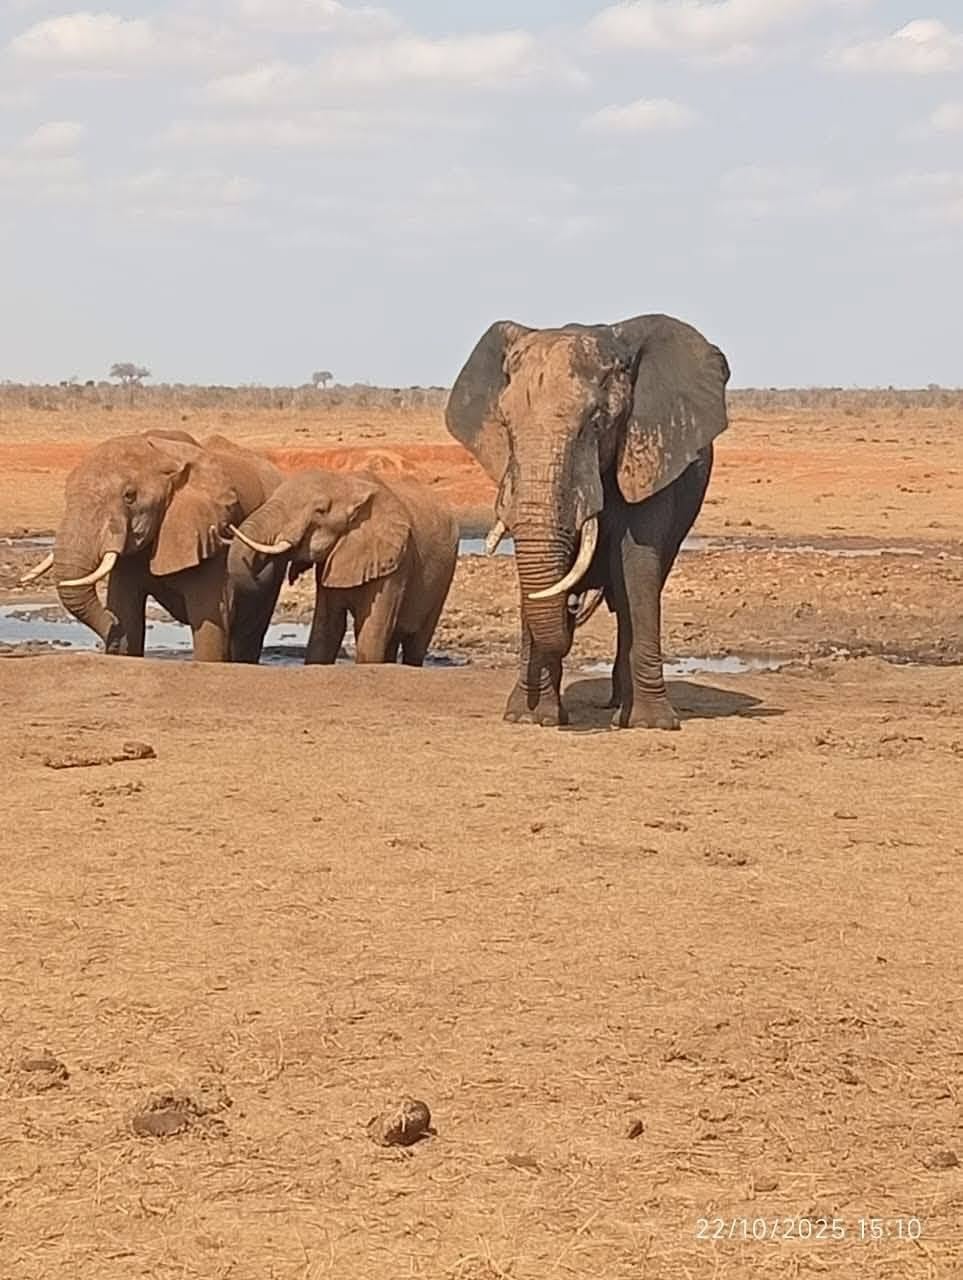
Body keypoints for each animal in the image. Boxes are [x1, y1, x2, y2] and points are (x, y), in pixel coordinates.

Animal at [21, 430, 284, 661]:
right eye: (67, 494)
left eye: (129, 496)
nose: (111, 629)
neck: (163, 454)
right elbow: (127, 614)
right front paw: (121, 635)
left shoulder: (214, 533)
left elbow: (210, 623)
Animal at [227, 468, 459, 665]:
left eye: (320, 511)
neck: (349, 484)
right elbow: (327, 628)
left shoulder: (397, 561)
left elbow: (372, 631)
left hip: (444, 578)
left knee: (416, 643)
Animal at [446, 313, 730, 730]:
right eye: (506, 425)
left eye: (596, 423)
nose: (572, 608)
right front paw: (530, 718)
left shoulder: (649, 456)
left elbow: (636, 563)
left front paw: (651, 724)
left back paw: (621, 706)